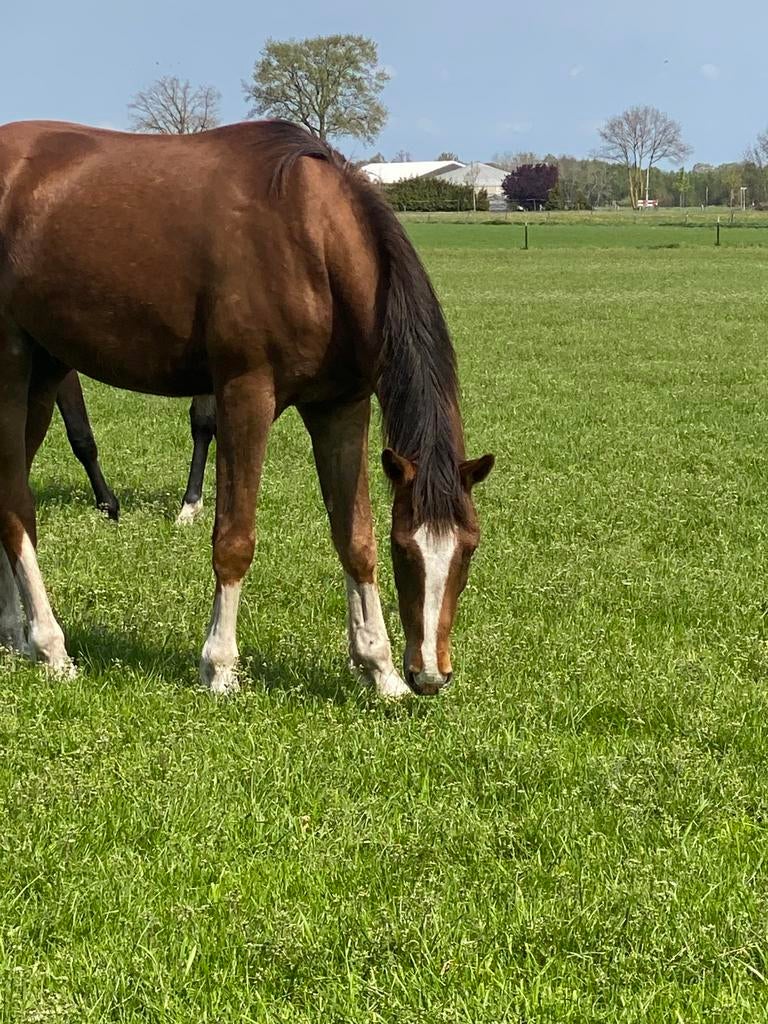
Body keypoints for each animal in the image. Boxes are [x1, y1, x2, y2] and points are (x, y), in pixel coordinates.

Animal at [0, 119, 493, 697]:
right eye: (406, 549)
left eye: (469, 548)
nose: (430, 674)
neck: (311, 239)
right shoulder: (246, 394)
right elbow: (234, 538)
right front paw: (219, 666)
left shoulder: (340, 409)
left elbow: (353, 539)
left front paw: (380, 668)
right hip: (11, 366)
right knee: (16, 504)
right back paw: (51, 647)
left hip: (46, 370)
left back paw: (14, 633)